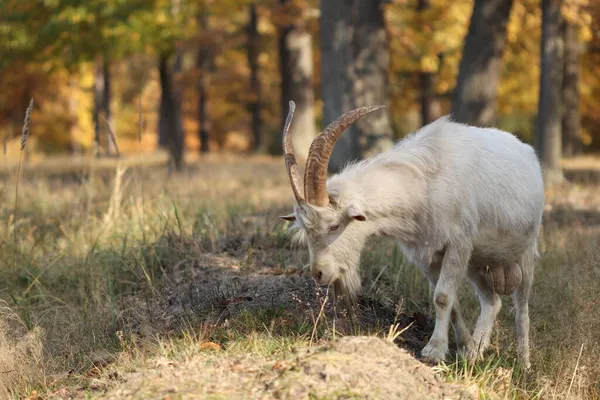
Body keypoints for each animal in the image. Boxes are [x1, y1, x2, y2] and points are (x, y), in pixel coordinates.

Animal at [280, 101, 544, 368]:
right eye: (306, 231)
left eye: (334, 226)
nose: (319, 274)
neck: (423, 187)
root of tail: (527, 152)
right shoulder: (426, 255)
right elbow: (452, 304)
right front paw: (465, 347)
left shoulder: (458, 245)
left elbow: (443, 297)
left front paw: (434, 351)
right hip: (478, 262)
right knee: (492, 301)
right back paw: (477, 352)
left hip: (524, 253)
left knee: (522, 309)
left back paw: (523, 363)